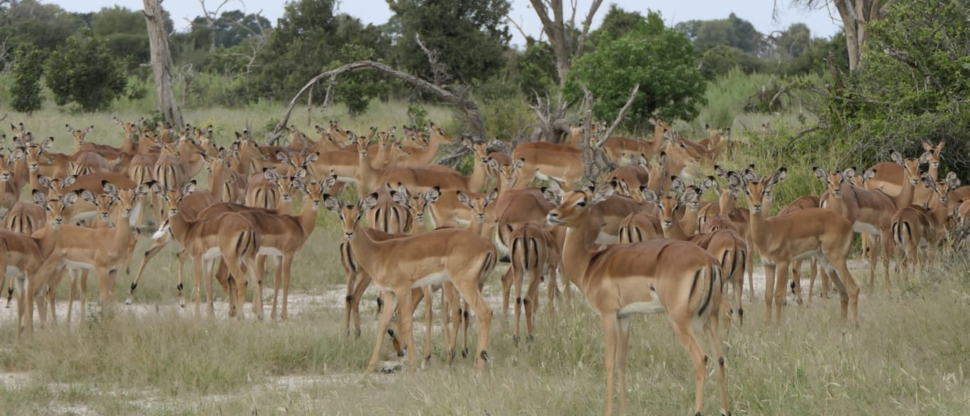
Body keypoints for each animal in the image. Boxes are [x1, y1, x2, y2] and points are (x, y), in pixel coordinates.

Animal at [324, 193, 497, 374]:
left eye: (358, 215)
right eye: (341, 215)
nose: (349, 233)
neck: (379, 253)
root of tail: (490, 247)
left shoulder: (403, 290)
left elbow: (408, 322)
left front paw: (414, 365)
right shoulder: (390, 294)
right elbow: (382, 323)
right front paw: (370, 368)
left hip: (464, 284)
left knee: (484, 313)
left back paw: (478, 366)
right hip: (475, 284)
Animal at [547, 188, 728, 416]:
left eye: (581, 202)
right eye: (563, 198)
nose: (553, 215)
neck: (590, 265)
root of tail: (708, 262)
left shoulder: (607, 314)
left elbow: (610, 361)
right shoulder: (625, 317)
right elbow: (622, 361)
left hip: (680, 321)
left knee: (701, 358)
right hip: (710, 318)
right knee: (720, 358)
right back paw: (725, 410)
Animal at [735, 168, 858, 325]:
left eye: (762, 191)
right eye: (747, 191)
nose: (757, 205)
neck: (768, 231)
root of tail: (847, 224)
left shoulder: (782, 263)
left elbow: (778, 295)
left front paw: (777, 326)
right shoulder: (768, 264)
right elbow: (767, 295)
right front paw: (767, 325)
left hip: (837, 259)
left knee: (853, 289)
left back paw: (855, 325)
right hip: (827, 262)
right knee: (843, 292)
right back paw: (842, 324)